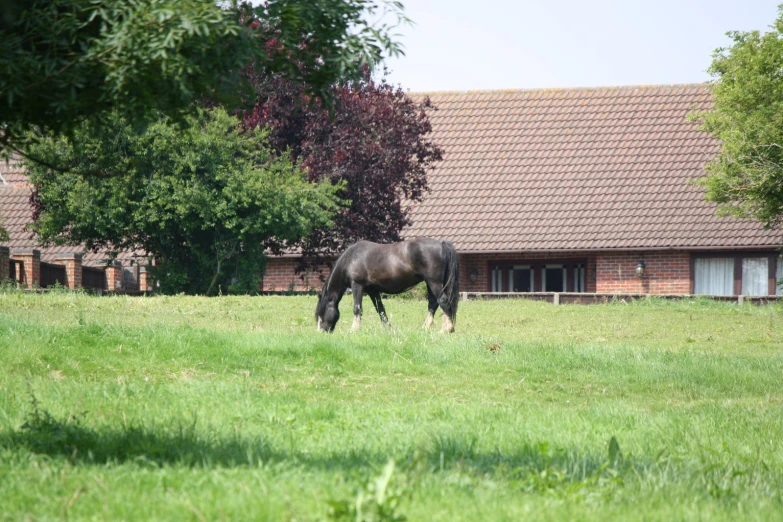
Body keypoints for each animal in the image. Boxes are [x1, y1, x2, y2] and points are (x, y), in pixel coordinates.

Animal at [314, 237, 460, 332]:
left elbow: (357, 308)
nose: (321, 331)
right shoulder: (372, 291)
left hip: (434, 282)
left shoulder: (357, 286)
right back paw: (426, 328)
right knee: (433, 303)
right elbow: (381, 310)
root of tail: (442, 244)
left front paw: (354, 329)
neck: (351, 258)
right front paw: (388, 329)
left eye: (321, 313)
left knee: (443, 301)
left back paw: (447, 329)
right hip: (431, 283)